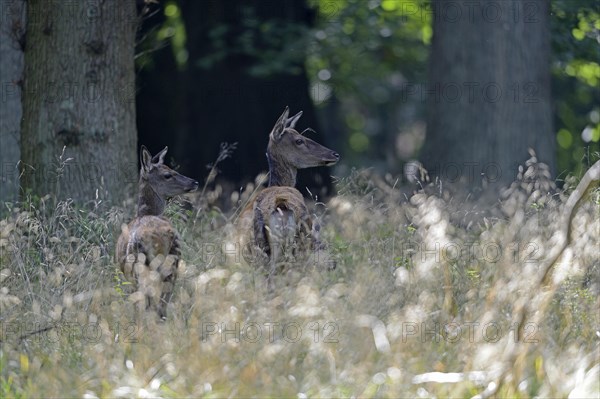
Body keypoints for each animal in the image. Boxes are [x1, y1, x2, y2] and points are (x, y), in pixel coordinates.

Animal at [113, 145, 197, 320]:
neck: (146, 212)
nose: (195, 182)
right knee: (159, 302)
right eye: (167, 174)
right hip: (170, 262)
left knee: (151, 303)